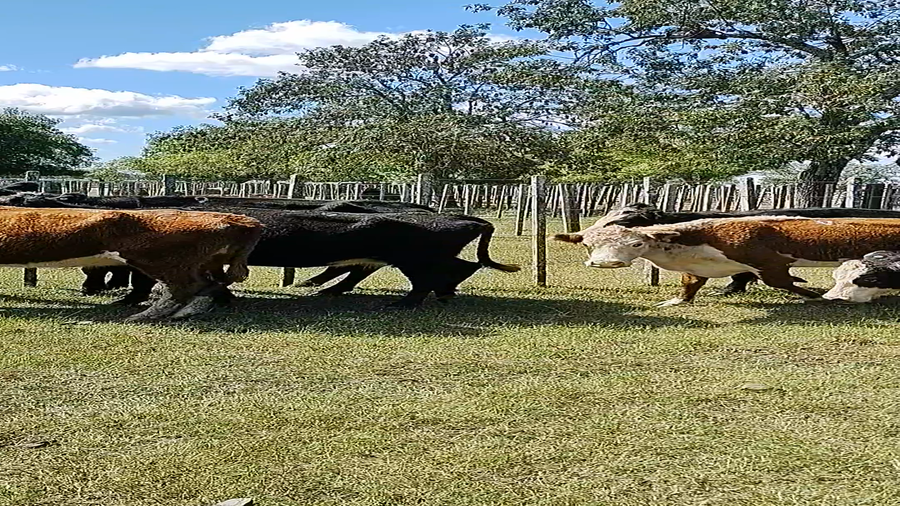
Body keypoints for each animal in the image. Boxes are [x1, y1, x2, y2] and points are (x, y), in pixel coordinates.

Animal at [0, 206, 262, 321]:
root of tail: (244, 220)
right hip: (201, 263)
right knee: (208, 287)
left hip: (165, 262)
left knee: (184, 289)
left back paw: (141, 317)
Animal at [553, 216, 900, 306]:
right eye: (588, 245)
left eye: (636, 243)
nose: (605, 264)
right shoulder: (696, 269)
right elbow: (689, 286)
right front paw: (675, 302)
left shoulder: (767, 263)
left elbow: (786, 282)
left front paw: (816, 296)